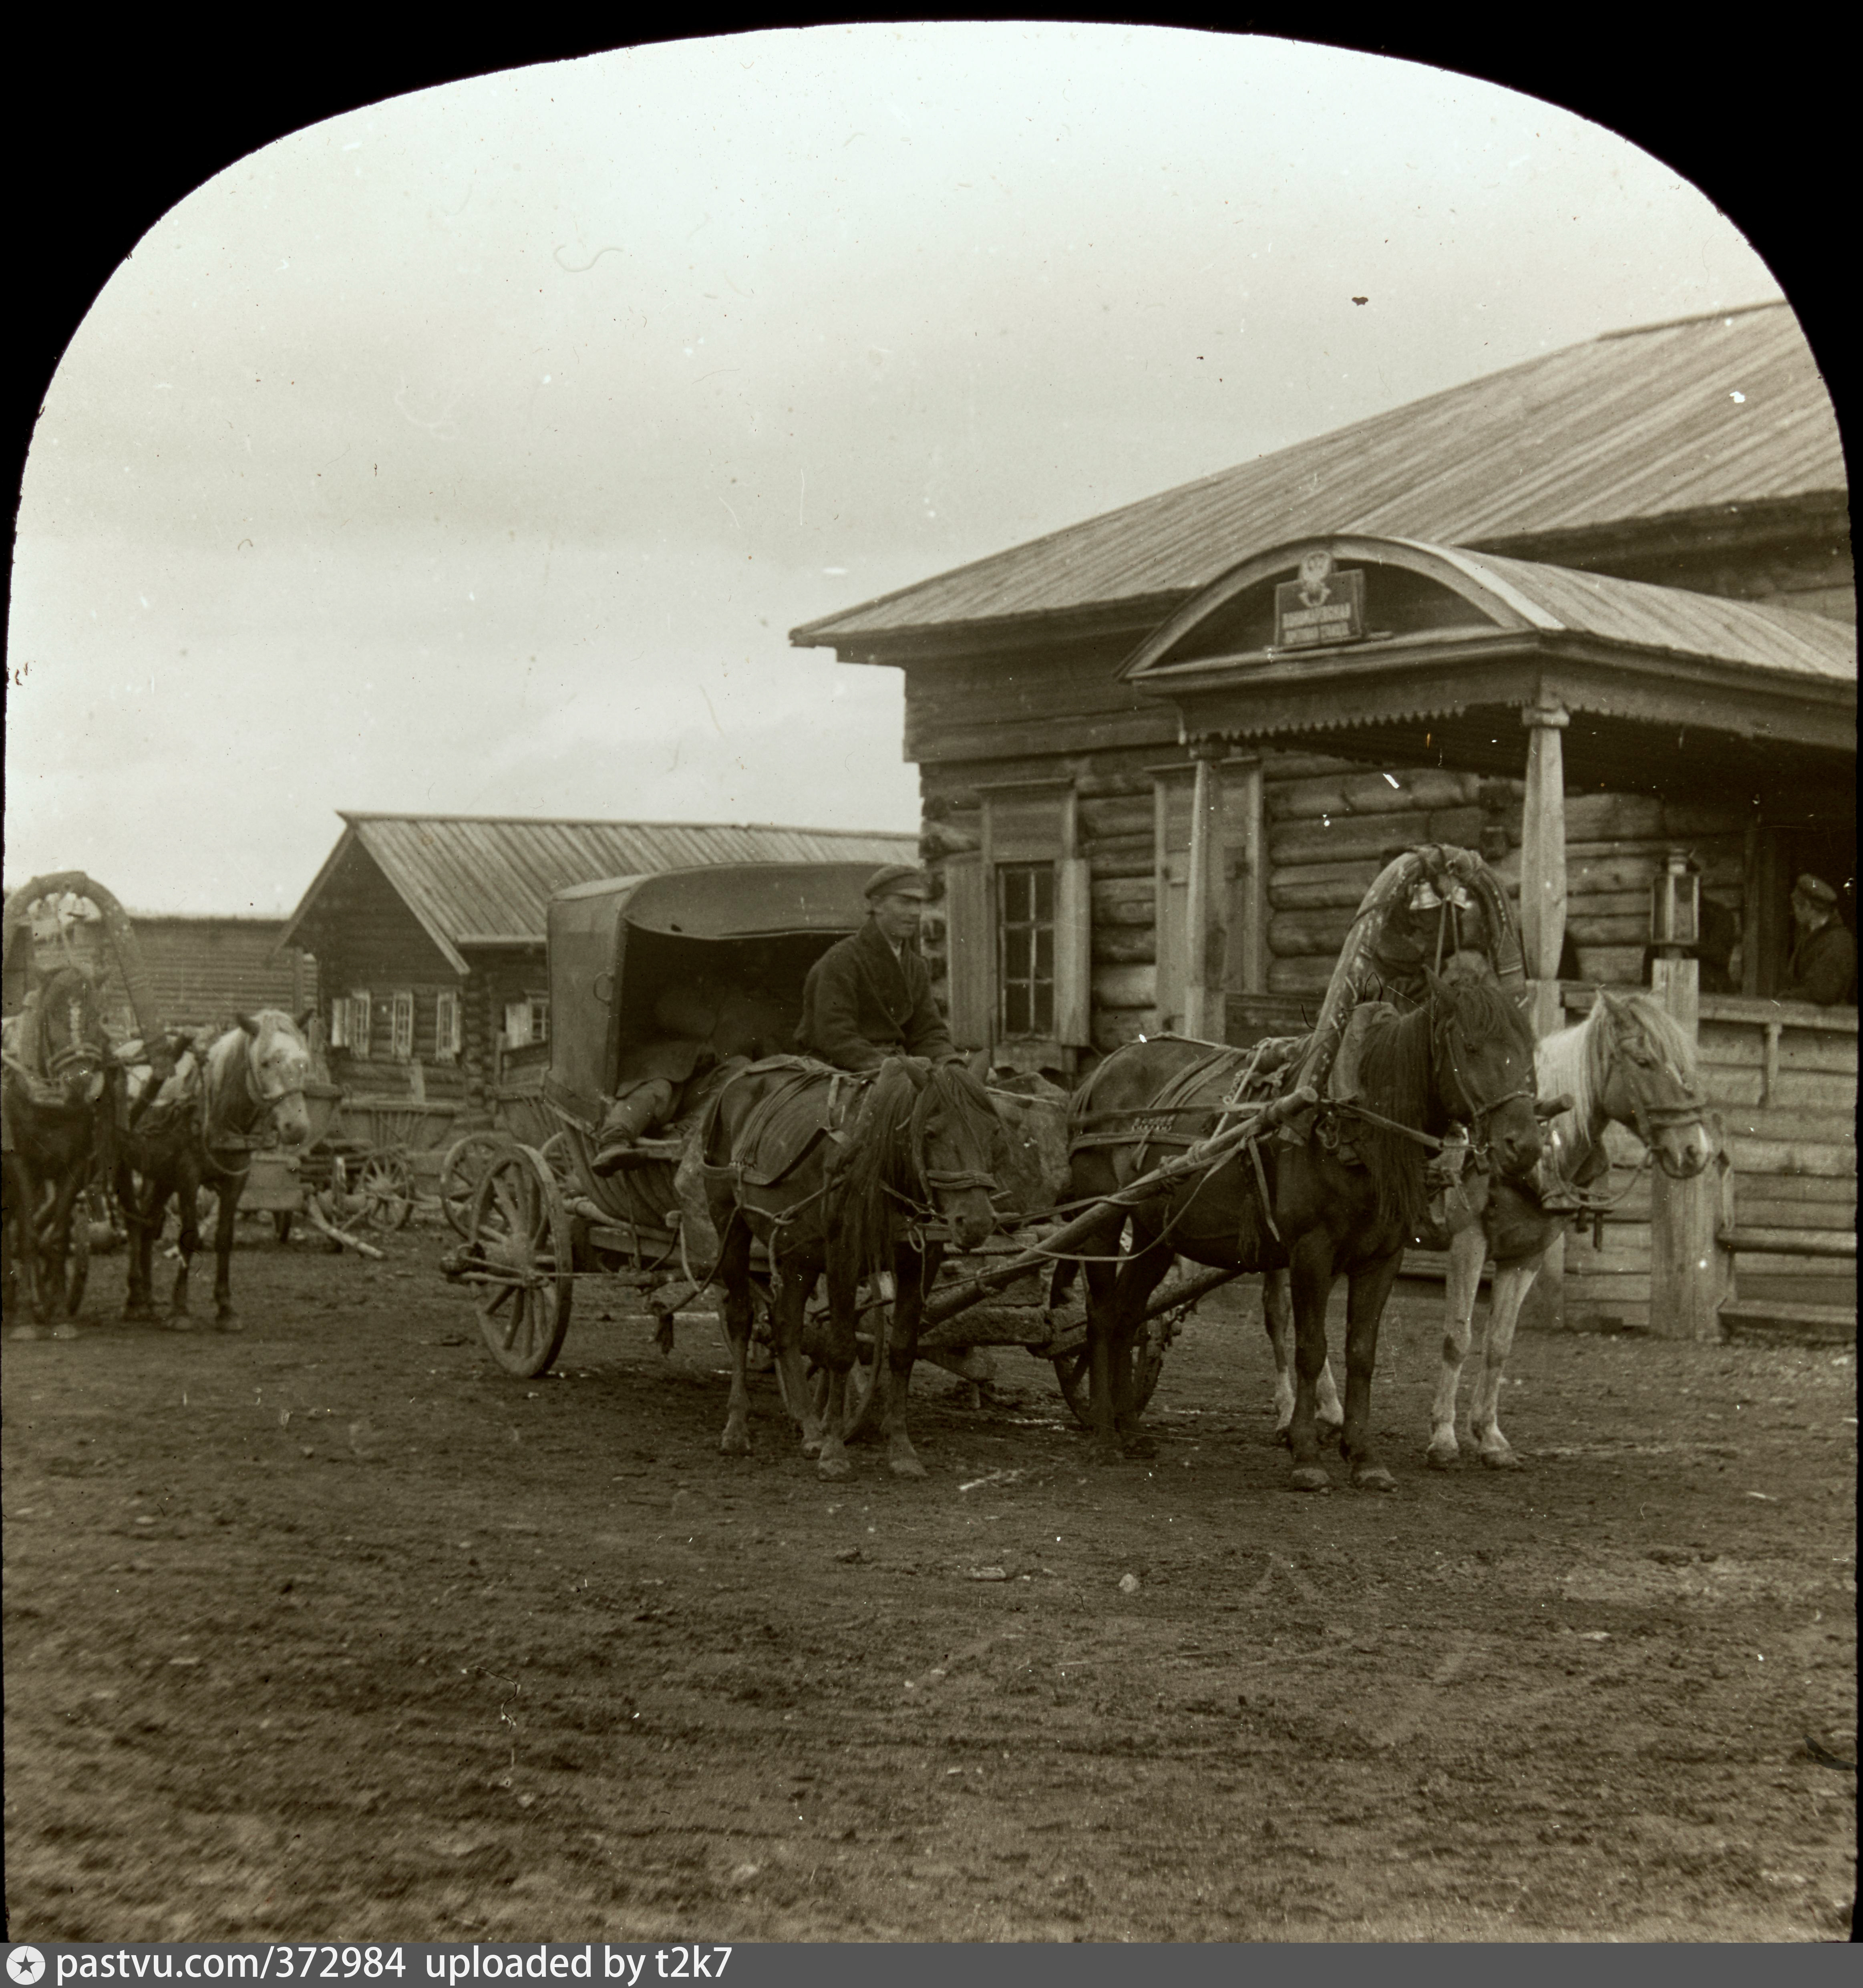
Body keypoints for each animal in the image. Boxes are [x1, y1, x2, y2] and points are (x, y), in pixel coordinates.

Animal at [1, 962, 114, 1336]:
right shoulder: (20, 1163)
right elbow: (28, 1231)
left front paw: (58, 1304)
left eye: (96, 1012)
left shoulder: (75, 1163)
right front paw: (36, 1305)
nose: (80, 1080)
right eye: (52, 1014)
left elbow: (59, 1232)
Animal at [119, 1010, 312, 1336]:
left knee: (149, 1221)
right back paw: (134, 1300)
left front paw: (226, 1309)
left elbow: (224, 1238)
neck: (215, 1110)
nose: (296, 1128)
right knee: (133, 1221)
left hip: (160, 1173)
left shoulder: (236, 1179)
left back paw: (148, 1297)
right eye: (264, 1062)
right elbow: (190, 1236)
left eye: (305, 1061)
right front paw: (180, 1310)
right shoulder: (188, 1176)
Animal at [700, 1057, 1002, 1479]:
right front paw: (834, 1451)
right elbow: (841, 1349)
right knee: (742, 1320)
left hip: (799, 1250)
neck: (879, 1167)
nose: (975, 1221)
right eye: (930, 1132)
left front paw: (901, 1449)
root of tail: (738, 1078)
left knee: (786, 1326)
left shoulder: (920, 1263)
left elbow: (903, 1349)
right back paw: (737, 1427)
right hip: (730, 1225)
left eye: (993, 1131)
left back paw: (809, 1426)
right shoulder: (843, 1256)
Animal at [1058, 970, 1543, 1495]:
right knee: (1102, 1316)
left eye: (1528, 1048)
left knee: (1129, 1317)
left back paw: (1131, 1431)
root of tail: (1105, 1069)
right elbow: (1311, 1349)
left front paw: (1363, 1457)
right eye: (1470, 1047)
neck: (1353, 1123)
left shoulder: (1383, 1256)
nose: (1525, 1147)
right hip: (1103, 1219)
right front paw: (1307, 1455)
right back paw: (1104, 1436)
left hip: (1157, 1233)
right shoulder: (1312, 1250)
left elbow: (1361, 1352)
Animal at [1264, 990, 1718, 1471]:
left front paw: (1490, 1437)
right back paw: (1288, 1415)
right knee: (1280, 1314)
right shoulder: (1469, 1242)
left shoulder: (1526, 1256)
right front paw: (1444, 1437)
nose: (1695, 1150)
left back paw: (1329, 1412)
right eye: (1643, 1061)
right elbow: (1457, 1339)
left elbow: (1499, 1343)